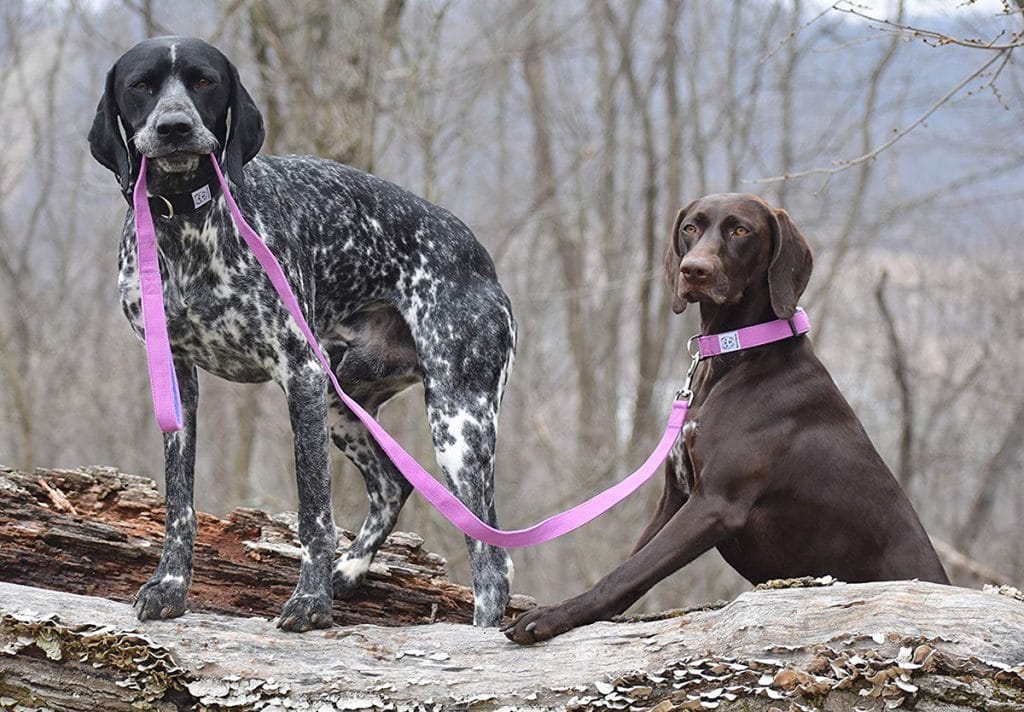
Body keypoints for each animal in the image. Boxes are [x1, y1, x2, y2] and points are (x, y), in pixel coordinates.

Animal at [88, 36, 516, 631]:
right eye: (141, 86)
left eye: (204, 82)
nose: (174, 126)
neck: (186, 227)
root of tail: (483, 262)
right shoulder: (178, 382)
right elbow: (179, 505)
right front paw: (169, 587)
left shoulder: (300, 375)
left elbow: (314, 511)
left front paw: (311, 602)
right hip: (343, 401)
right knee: (394, 484)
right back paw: (351, 569)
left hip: (457, 423)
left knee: (490, 560)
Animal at [507, 193, 946, 647]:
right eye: (690, 228)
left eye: (740, 230)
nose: (694, 270)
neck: (739, 355)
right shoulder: (676, 498)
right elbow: (634, 562)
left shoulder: (714, 504)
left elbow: (627, 572)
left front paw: (556, 614)